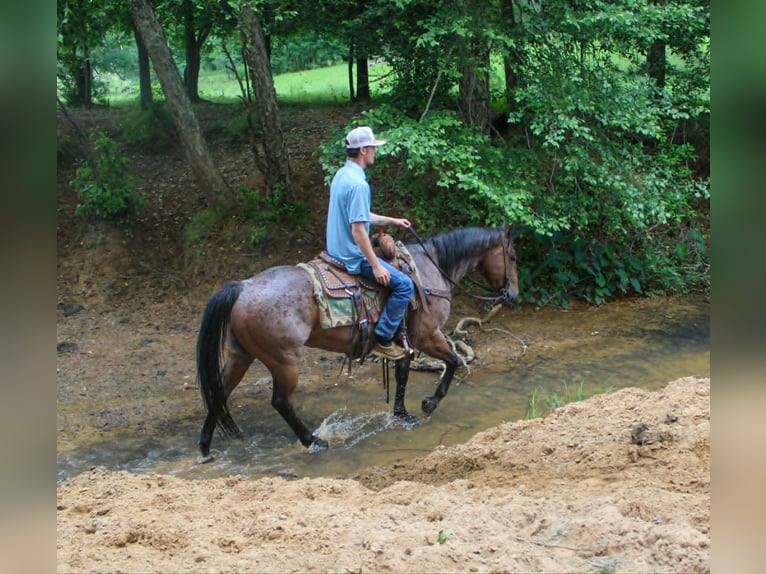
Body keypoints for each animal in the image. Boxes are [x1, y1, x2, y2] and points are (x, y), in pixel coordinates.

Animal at [196, 224, 518, 462]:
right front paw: (429, 403)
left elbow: (403, 375)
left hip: (241, 355)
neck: (430, 269)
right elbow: (452, 361)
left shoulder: (409, 340)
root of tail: (242, 288)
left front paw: (402, 414)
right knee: (280, 401)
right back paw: (314, 441)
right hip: (284, 360)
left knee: (219, 392)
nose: (513, 295)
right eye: (513, 257)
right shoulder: (428, 335)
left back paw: (205, 449)